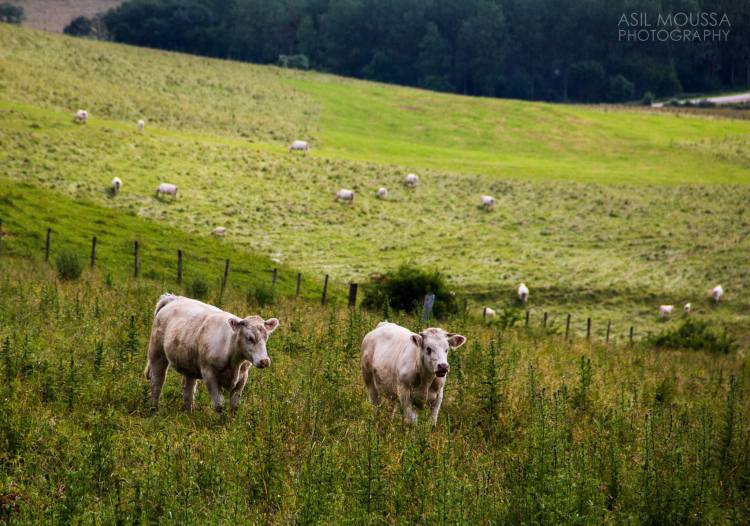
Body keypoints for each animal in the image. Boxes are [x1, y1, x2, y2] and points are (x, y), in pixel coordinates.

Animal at [144, 294, 279, 412]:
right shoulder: (209, 373)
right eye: (250, 338)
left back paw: (189, 412)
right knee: (157, 381)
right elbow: (219, 404)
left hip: (188, 363)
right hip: (157, 353)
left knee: (188, 388)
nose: (264, 361)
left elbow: (234, 405)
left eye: (266, 338)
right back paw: (154, 409)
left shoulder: (243, 377)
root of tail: (174, 298)